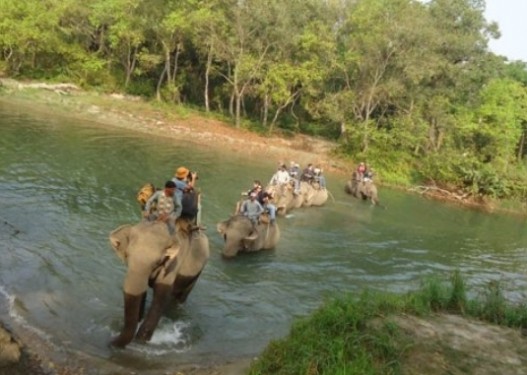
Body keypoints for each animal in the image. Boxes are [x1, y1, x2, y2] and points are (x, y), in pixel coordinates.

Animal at [108, 219, 209, 348]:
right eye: (128, 256)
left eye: (156, 262)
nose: (110, 341)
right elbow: (141, 293)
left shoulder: (173, 265)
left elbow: (162, 294)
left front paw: (141, 340)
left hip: (197, 274)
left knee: (179, 297)